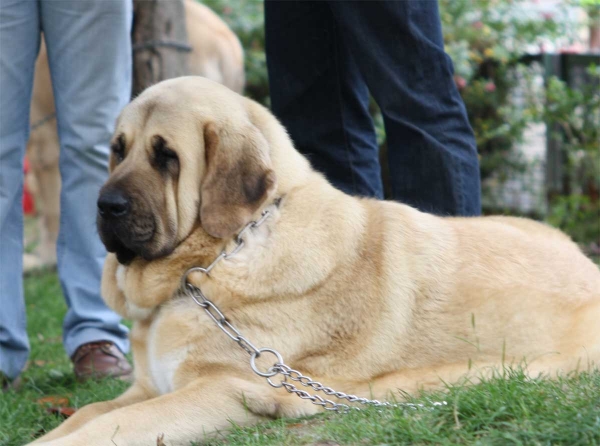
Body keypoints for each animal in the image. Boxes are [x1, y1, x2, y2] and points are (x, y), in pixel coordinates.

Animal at [31, 77, 600, 446]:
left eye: (166, 156)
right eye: (118, 149)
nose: (106, 205)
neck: (214, 259)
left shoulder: (225, 389)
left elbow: (103, 429)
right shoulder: (147, 387)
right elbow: (86, 413)